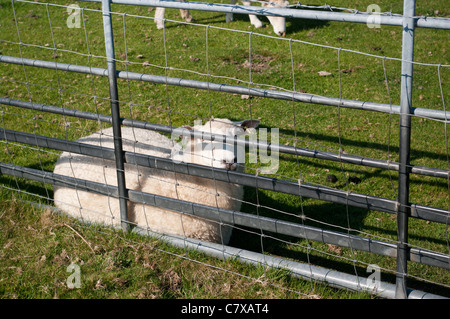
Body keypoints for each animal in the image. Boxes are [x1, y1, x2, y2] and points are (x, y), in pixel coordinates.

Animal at [154, 0, 288, 36]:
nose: (282, 33)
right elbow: (247, 3)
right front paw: (256, 22)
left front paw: (229, 16)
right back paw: (160, 22)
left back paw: (186, 15)